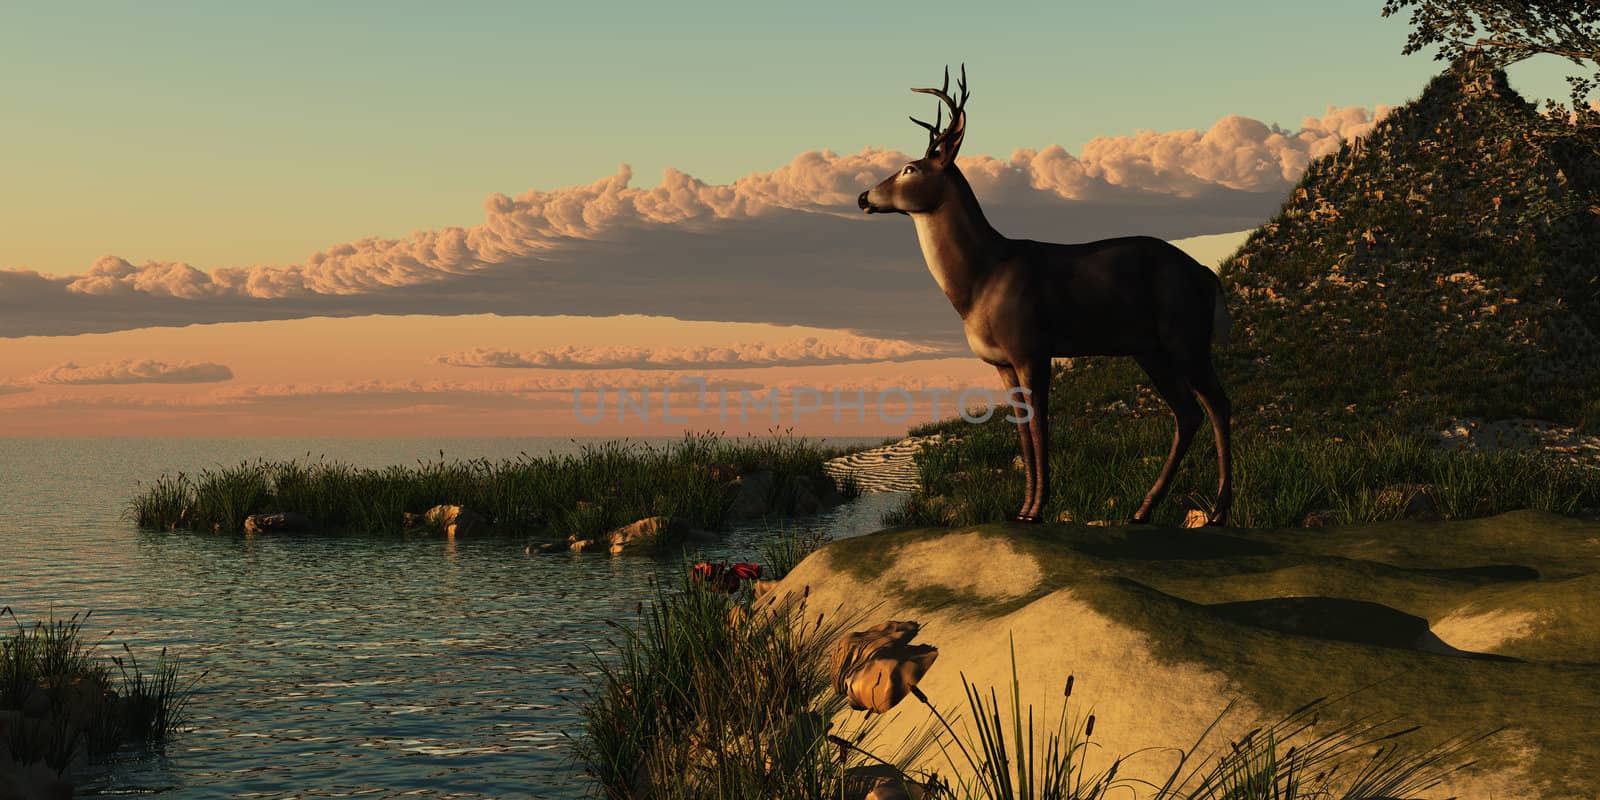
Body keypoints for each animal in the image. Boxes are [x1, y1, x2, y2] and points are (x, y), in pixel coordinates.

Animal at [857, 67, 1228, 524]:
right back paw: (1143, 510)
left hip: (1185, 336)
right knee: (1188, 411)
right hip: (1150, 349)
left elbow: (1039, 425)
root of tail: (1207, 274)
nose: (863, 197)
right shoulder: (1003, 362)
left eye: (910, 167)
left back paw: (1218, 512)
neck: (981, 280)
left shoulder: (1031, 347)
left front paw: (1036, 509)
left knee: (1218, 404)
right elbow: (1020, 429)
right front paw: (1022, 508)